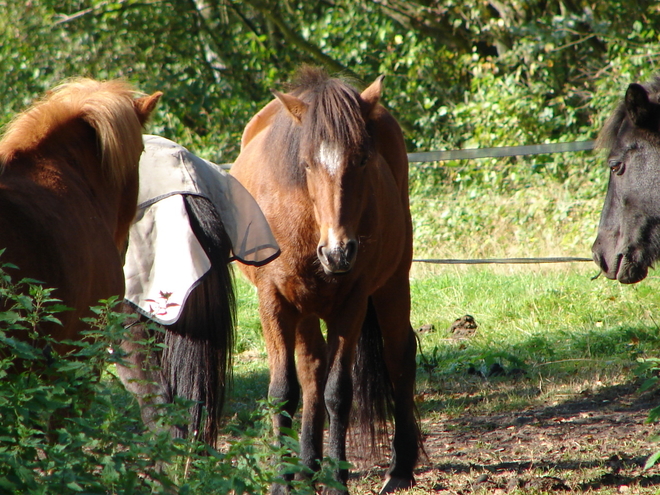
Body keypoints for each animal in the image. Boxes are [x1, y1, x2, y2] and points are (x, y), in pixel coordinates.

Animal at [229, 67, 420, 495]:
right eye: (306, 164)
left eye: (362, 159)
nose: (338, 252)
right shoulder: (274, 301)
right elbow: (285, 392)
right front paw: (283, 480)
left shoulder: (352, 303)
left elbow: (338, 392)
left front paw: (336, 479)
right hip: (304, 308)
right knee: (311, 369)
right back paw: (306, 467)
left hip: (393, 283)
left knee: (399, 357)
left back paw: (399, 467)